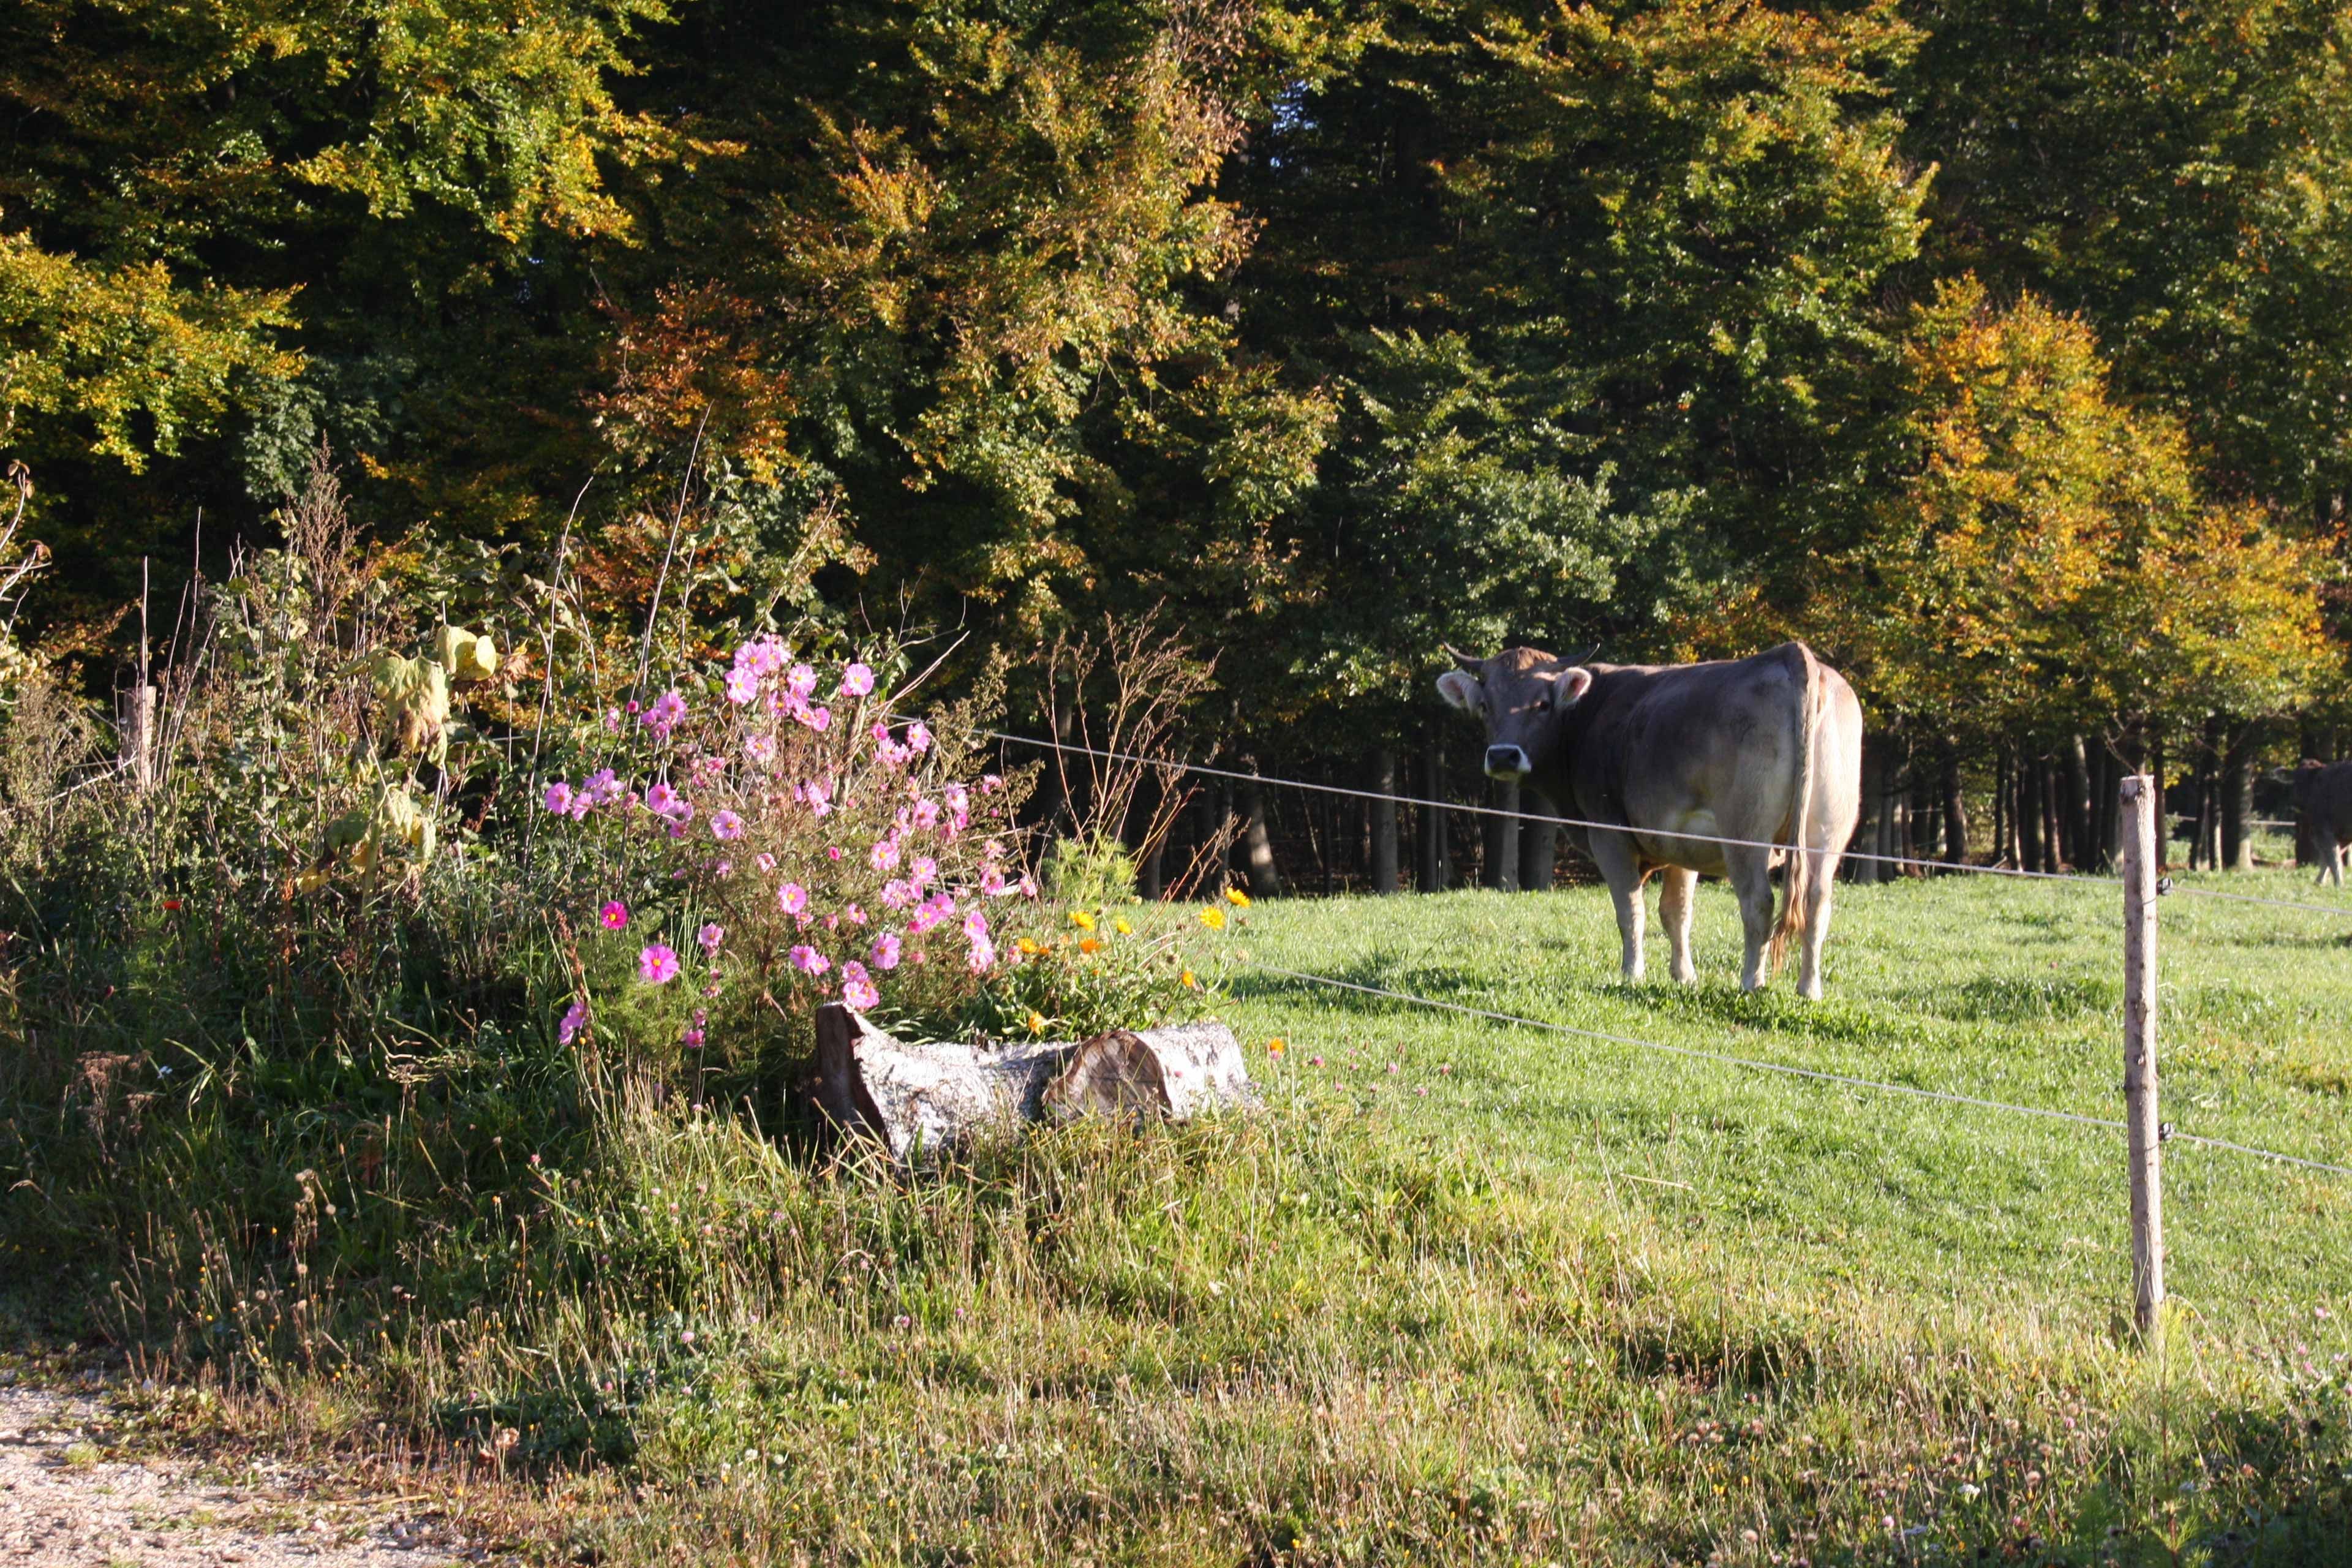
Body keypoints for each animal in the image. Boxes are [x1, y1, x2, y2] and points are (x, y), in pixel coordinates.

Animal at [1437, 641, 1864, 999]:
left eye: (1542, 704)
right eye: (1486, 706)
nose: (1503, 756)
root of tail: (1791, 654)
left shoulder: (1609, 834)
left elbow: (1631, 910)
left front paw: (1632, 973)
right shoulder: (1683, 843)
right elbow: (1676, 913)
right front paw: (1685, 975)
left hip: (1745, 833)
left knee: (1758, 900)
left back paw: (1751, 982)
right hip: (1828, 831)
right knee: (1817, 901)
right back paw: (1809, 988)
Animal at [2293, 759, 2352, 885]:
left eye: (2305, 780)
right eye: (2295, 780)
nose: (2297, 801)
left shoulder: (2323, 829)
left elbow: (2332, 858)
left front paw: (2338, 883)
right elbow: (2327, 858)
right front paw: (2320, 882)